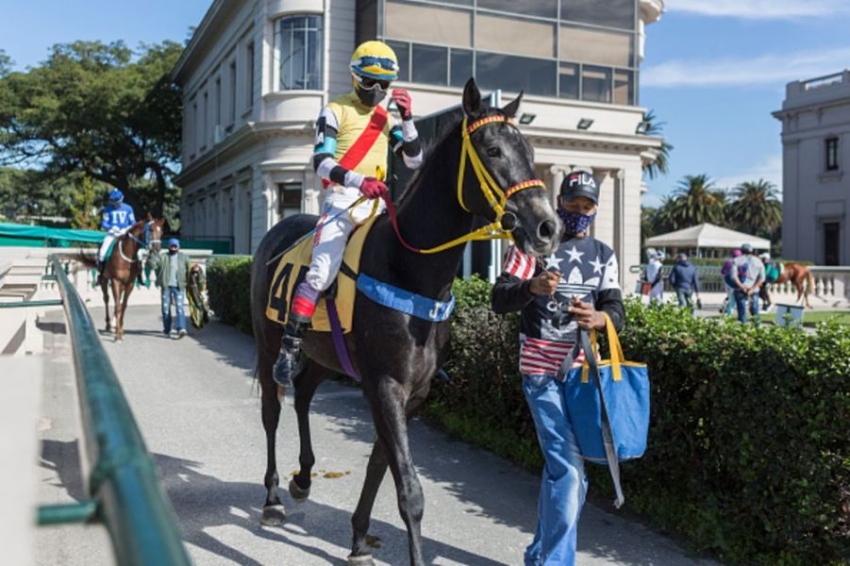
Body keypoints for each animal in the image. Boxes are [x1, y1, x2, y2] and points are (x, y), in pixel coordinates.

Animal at [248, 79, 560, 566]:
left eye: (529, 150)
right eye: (492, 150)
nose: (548, 226)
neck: (409, 269)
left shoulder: (413, 391)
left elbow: (381, 464)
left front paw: (358, 537)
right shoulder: (385, 385)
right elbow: (409, 489)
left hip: (326, 354)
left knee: (303, 392)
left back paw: (303, 477)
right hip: (268, 343)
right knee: (273, 408)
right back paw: (274, 496)